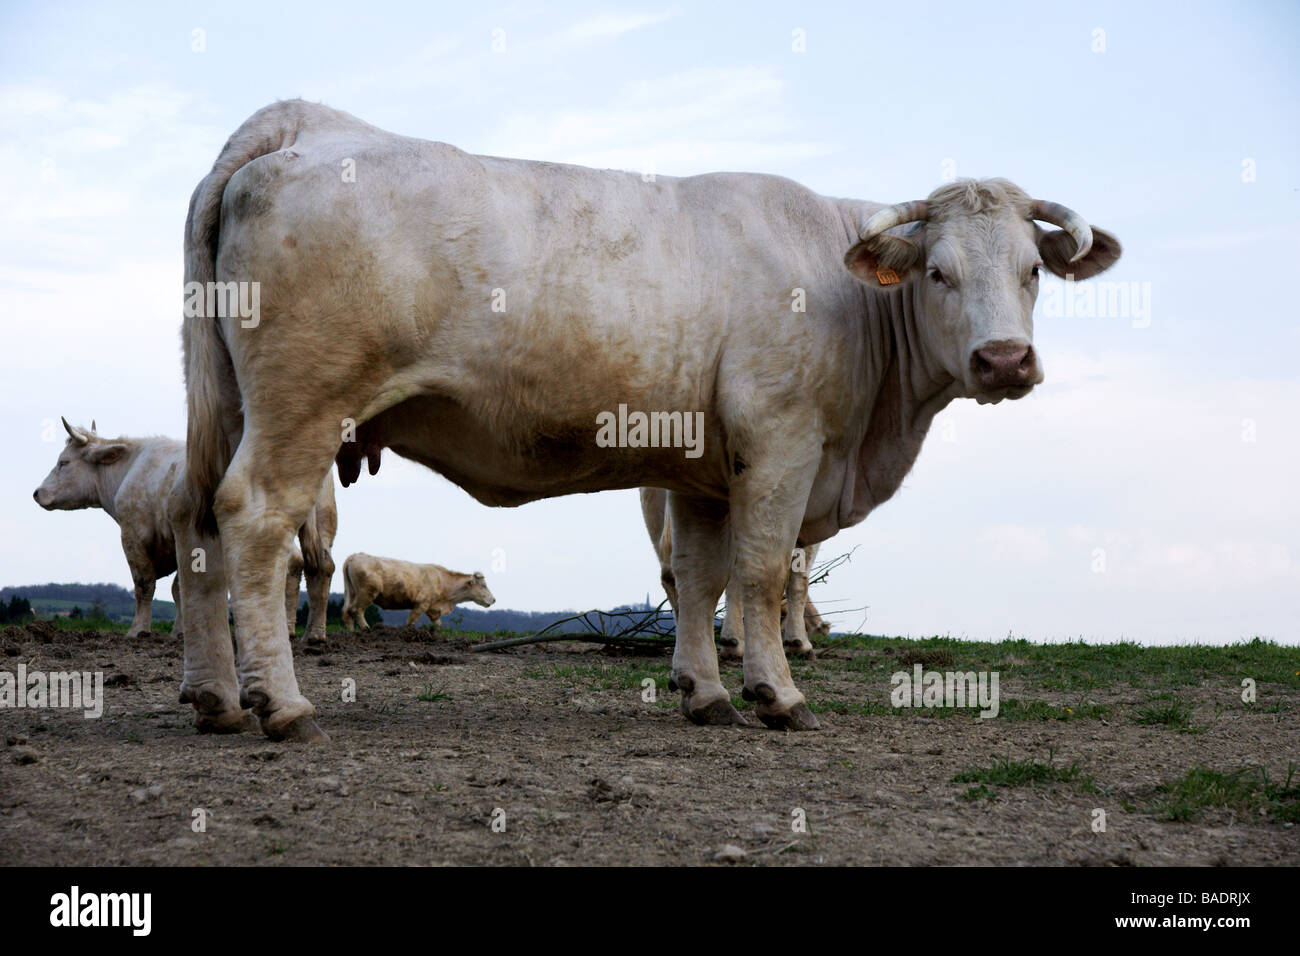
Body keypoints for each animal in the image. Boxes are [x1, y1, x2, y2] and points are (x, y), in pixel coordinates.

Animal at [340, 548, 491, 632]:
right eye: (483, 585)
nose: (493, 599)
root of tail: (356, 555)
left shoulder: (432, 608)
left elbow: (438, 624)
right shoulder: (421, 603)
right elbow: (411, 622)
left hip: (351, 592)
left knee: (346, 611)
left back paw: (351, 631)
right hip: (367, 592)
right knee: (356, 610)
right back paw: (366, 629)